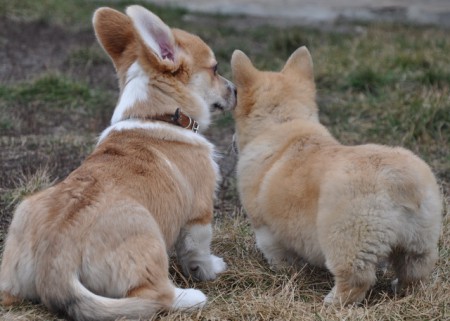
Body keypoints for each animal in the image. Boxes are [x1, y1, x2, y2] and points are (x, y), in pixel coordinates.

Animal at [0, 5, 237, 320]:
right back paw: (189, 297)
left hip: (21, 228)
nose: (236, 90)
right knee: (155, 296)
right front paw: (211, 269)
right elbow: (198, 250)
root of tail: (55, 266)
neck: (155, 115)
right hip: (148, 238)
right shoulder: (199, 214)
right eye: (215, 68)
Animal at [232, 46, 442, 304]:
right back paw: (399, 289)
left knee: (355, 280)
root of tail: (402, 182)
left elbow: (278, 256)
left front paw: (283, 272)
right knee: (414, 273)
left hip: (347, 240)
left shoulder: (266, 230)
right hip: (420, 242)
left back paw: (330, 302)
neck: (284, 122)